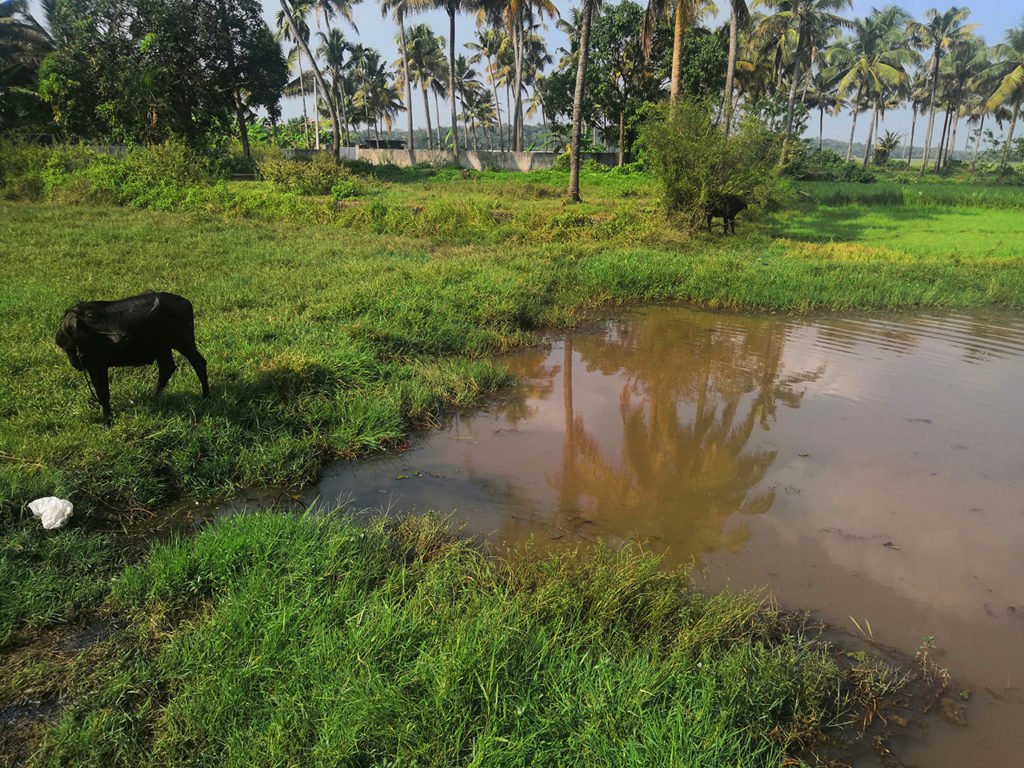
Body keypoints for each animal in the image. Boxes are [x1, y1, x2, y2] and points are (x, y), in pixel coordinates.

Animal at [57, 292, 208, 428]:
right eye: (90, 316)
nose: (122, 338)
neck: (75, 346)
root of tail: (185, 303)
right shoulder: (92, 367)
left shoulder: (98, 365)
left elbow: (103, 393)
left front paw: (107, 421)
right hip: (162, 348)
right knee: (167, 368)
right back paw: (153, 397)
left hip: (184, 342)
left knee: (199, 363)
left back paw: (206, 396)